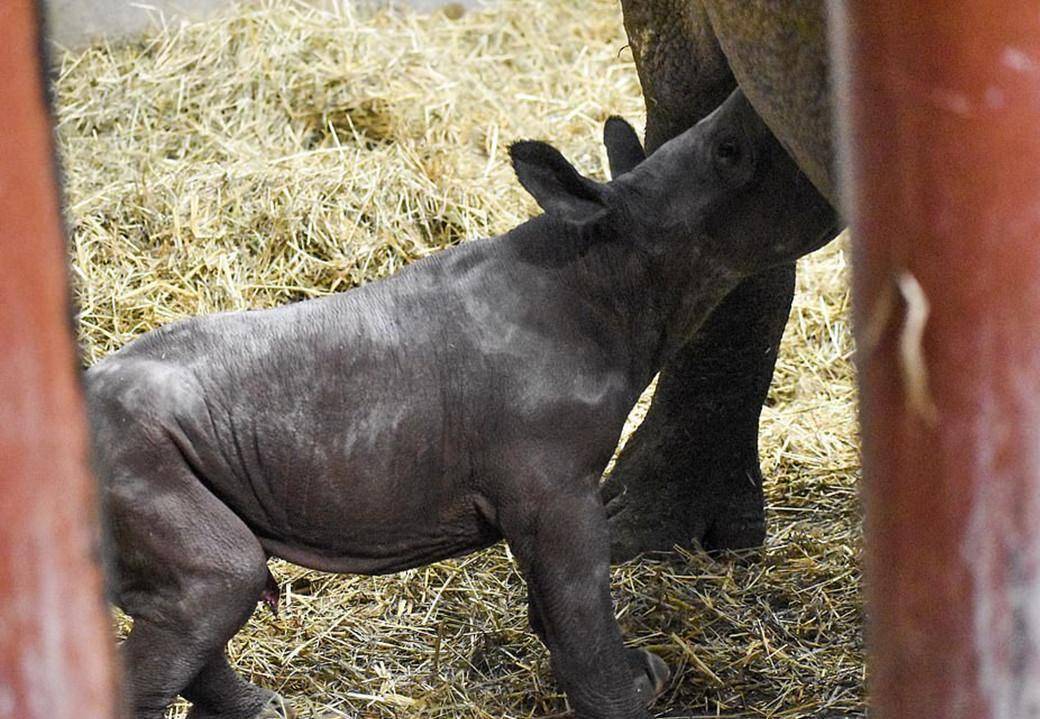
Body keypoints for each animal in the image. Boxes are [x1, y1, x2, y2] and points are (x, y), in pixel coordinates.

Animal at [89, 90, 836, 719]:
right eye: (730, 152)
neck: (612, 265)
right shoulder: (552, 482)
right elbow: (581, 597)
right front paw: (627, 699)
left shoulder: (544, 487)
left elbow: (558, 605)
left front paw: (640, 675)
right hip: (130, 459)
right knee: (218, 583)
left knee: (203, 596)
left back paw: (265, 709)